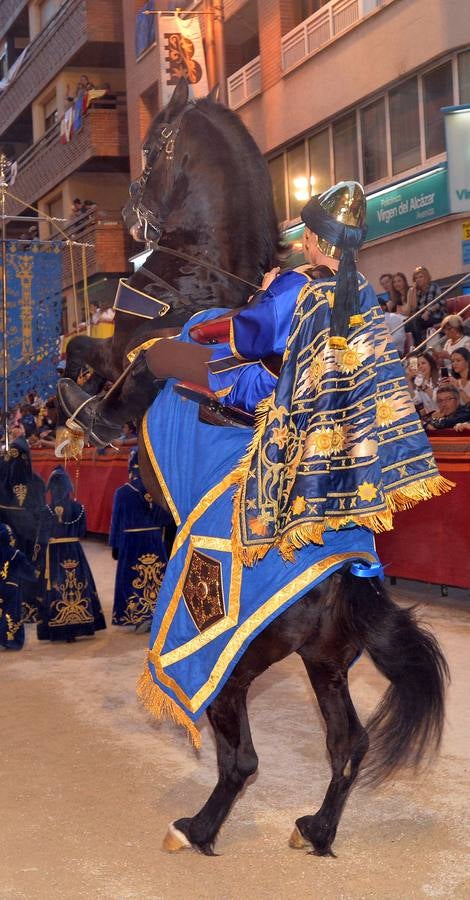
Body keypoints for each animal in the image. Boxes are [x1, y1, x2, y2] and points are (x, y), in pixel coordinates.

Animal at [59, 79, 280, 438]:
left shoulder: (117, 353)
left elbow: (76, 344)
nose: (127, 214)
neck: (199, 265)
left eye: (148, 150)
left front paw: (77, 398)